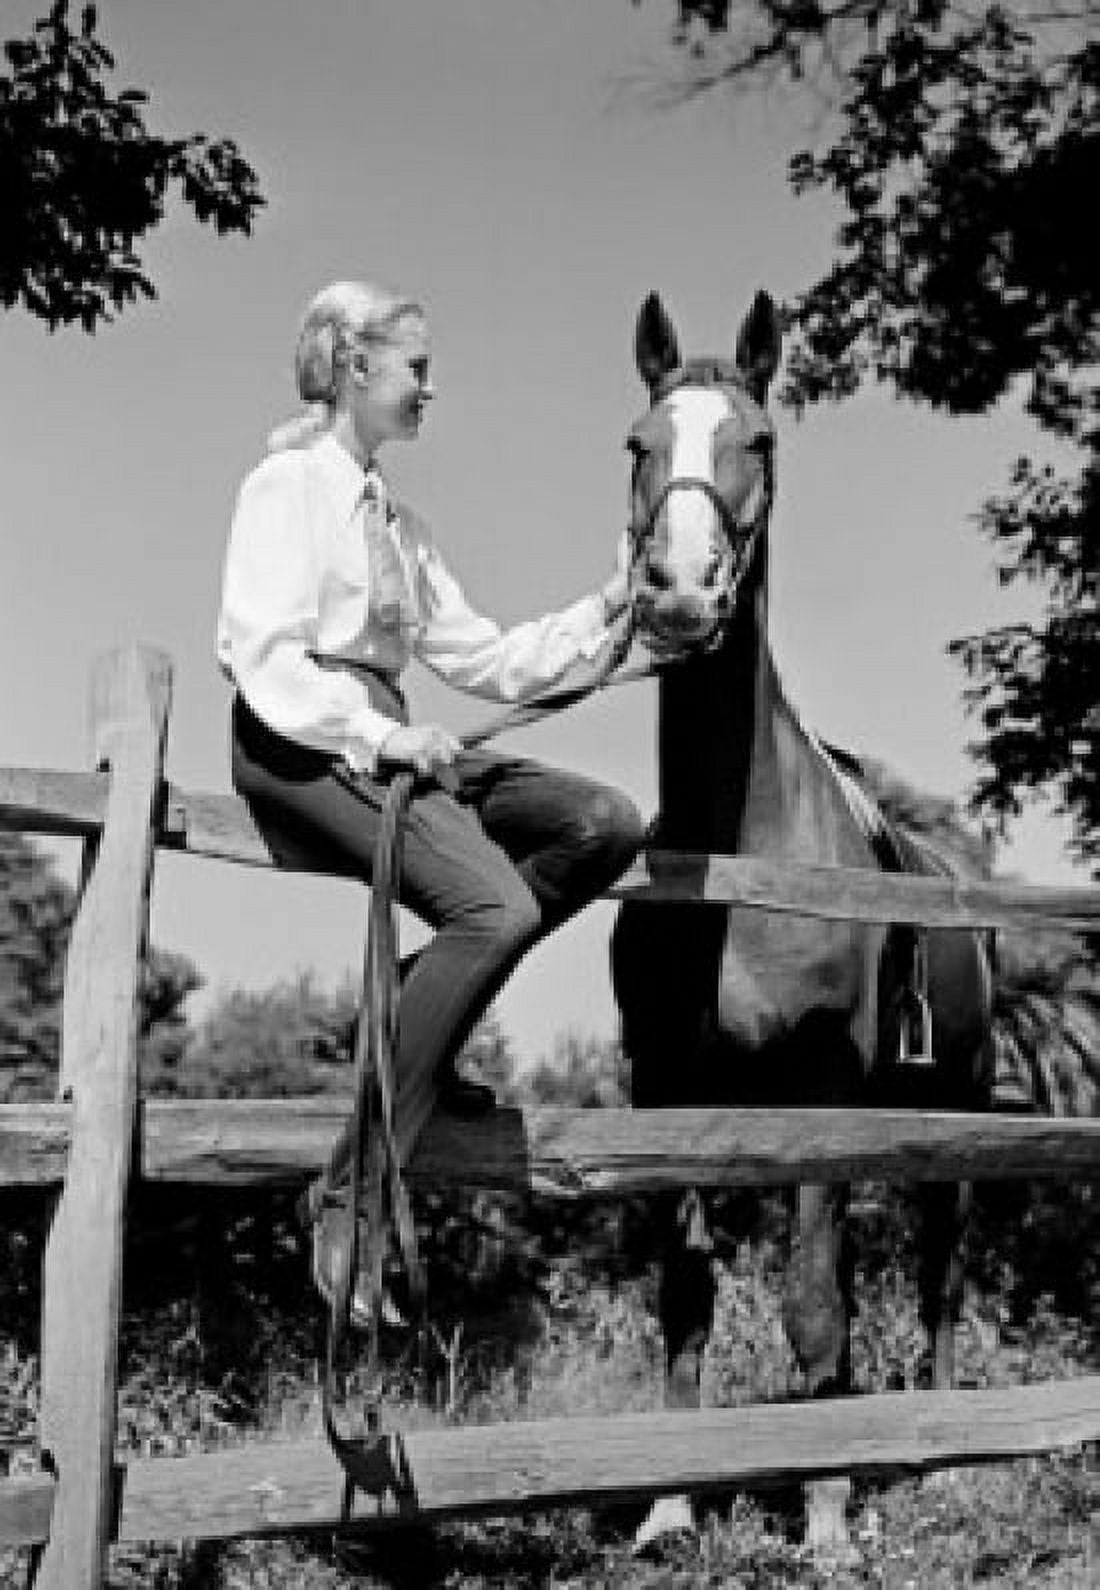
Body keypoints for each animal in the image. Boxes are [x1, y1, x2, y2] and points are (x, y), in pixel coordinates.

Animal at [610, 287, 995, 1542]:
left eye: (761, 441)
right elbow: (686, 1299)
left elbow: (813, 1296)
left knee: (935, 1276)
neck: (739, 859)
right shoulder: (665, 1090)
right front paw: (667, 1509)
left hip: (952, 1116)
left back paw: (936, 1465)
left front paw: (822, 1515)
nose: (680, 593)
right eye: (637, 444)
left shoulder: (819, 1088)